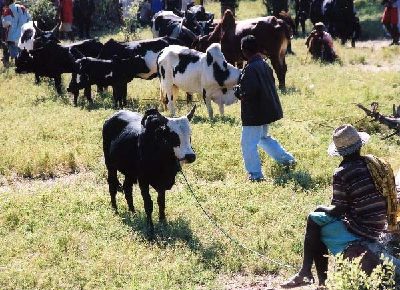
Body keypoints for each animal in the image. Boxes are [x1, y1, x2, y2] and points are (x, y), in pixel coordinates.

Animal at [102, 105, 196, 234]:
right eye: (173, 136)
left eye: (190, 134)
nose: (190, 156)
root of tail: (112, 117)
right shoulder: (143, 180)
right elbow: (148, 204)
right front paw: (151, 229)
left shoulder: (162, 183)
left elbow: (161, 202)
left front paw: (163, 222)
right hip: (110, 165)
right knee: (112, 185)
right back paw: (115, 209)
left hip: (130, 172)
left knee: (127, 188)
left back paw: (133, 212)